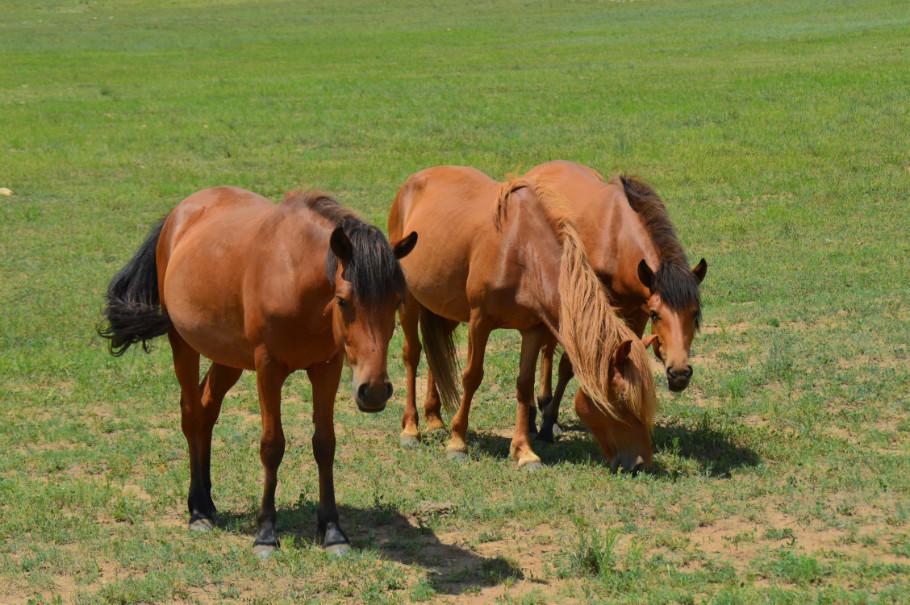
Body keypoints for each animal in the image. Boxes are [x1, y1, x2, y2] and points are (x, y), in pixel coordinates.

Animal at [98, 188, 418, 556]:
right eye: (342, 300)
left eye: (397, 301)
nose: (375, 390)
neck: (293, 275)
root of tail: (178, 215)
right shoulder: (268, 368)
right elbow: (271, 446)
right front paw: (266, 534)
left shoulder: (327, 367)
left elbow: (325, 444)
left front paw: (333, 531)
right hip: (184, 344)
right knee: (192, 414)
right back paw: (198, 511)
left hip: (228, 358)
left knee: (206, 411)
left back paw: (207, 502)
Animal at [388, 166, 660, 472]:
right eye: (622, 400)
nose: (640, 462)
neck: (521, 251)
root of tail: (412, 182)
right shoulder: (480, 320)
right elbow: (472, 376)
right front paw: (458, 443)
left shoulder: (532, 329)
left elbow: (524, 384)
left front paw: (524, 452)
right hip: (410, 301)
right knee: (412, 355)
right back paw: (411, 429)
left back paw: (434, 420)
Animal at [524, 160, 708, 442]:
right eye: (657, 314)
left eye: (694, 313)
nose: (679, 373)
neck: (617, 238)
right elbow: (568, 365)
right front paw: (546, 425)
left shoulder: (636, 312)